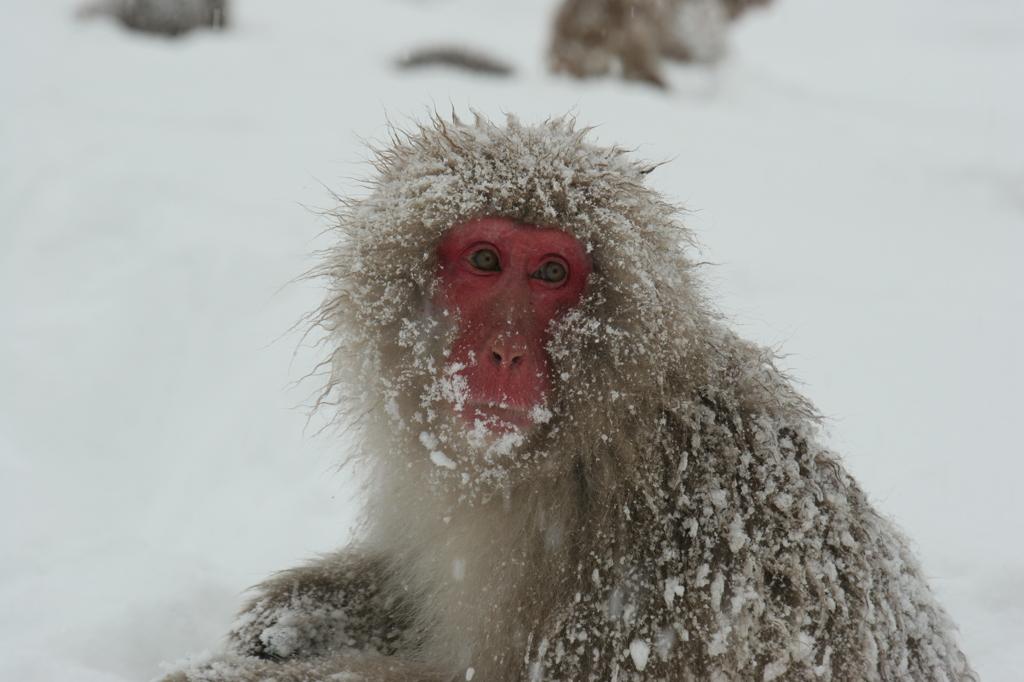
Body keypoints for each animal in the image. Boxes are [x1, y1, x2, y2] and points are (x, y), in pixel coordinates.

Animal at [159, 114, 974, 675]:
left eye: (552, 272)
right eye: (486, 260)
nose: (506, 351)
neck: (593, 445)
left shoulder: (674, 570)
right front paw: (289, 620)